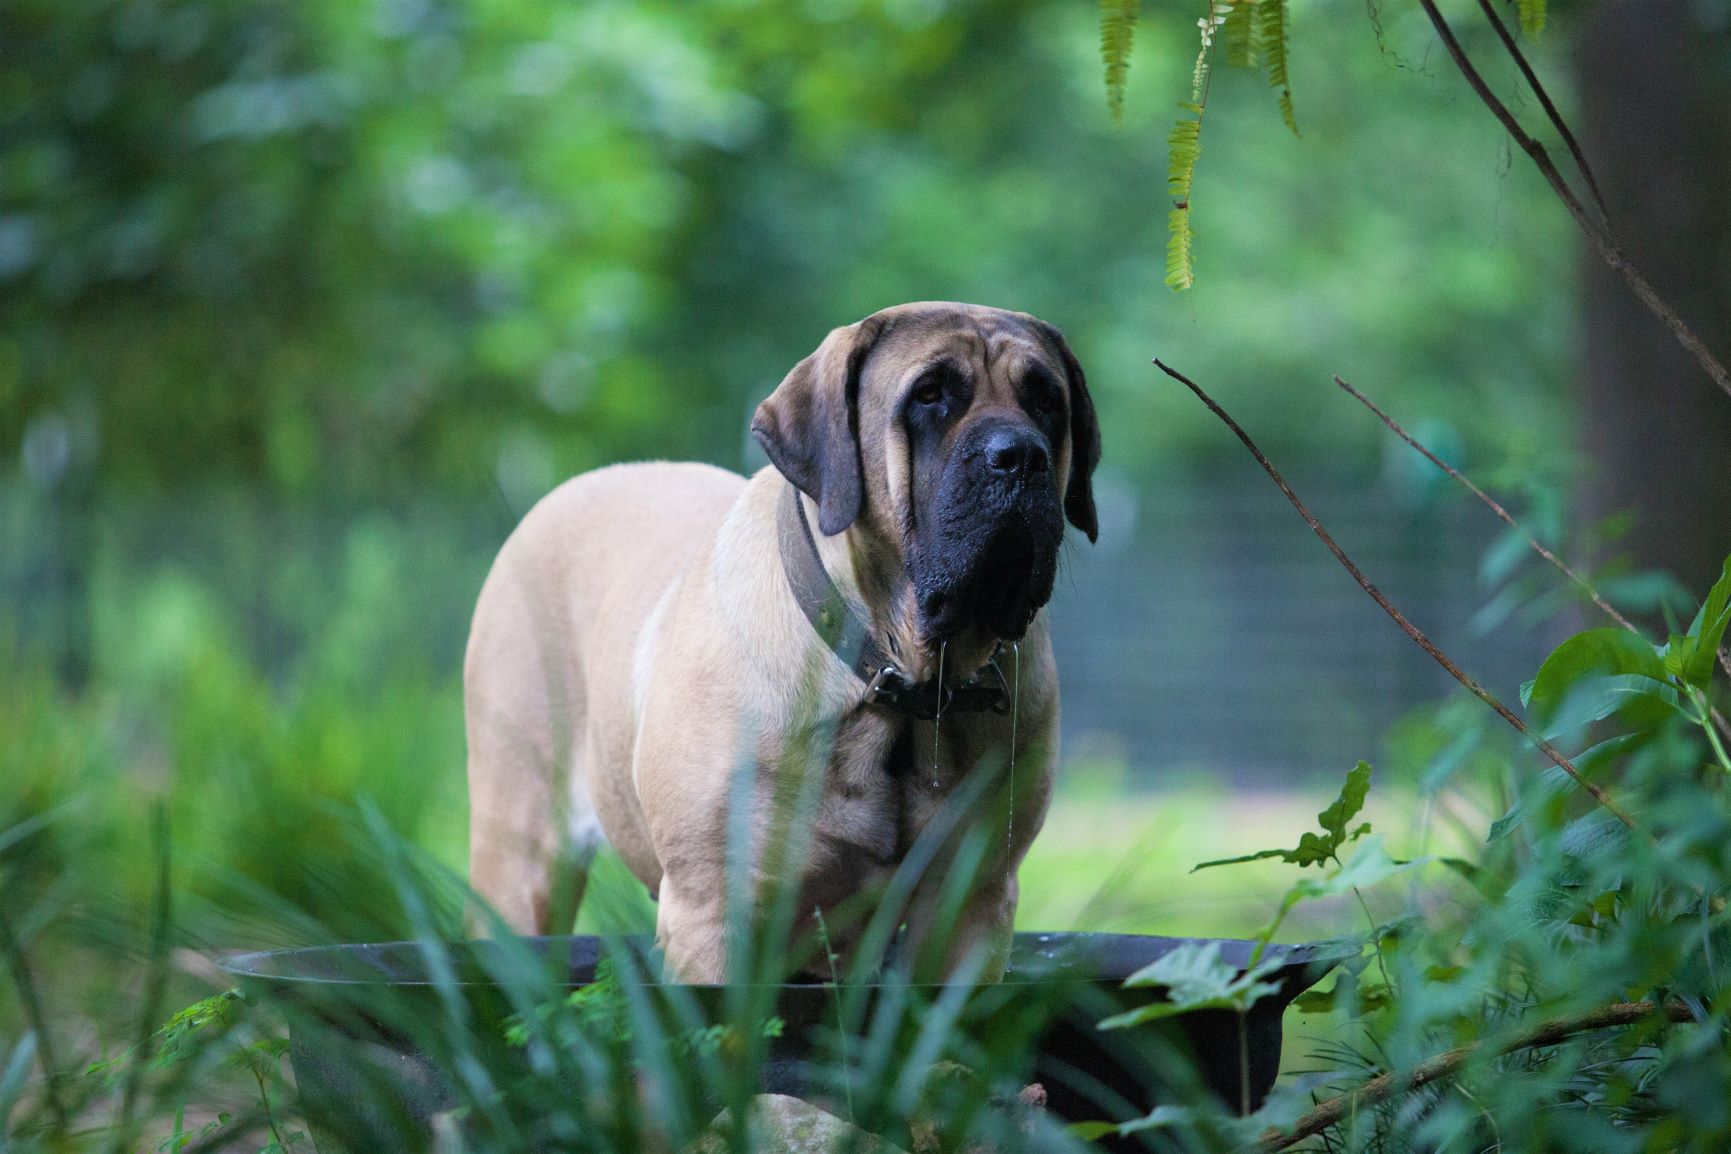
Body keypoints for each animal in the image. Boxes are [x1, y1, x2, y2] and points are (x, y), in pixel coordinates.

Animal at [467, 301, 1100, 982]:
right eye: (929, 396)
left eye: (1045, 402)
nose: (1022, 455)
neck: (899, 680)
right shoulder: (709, 914)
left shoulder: (971, 905)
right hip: (521, 859)